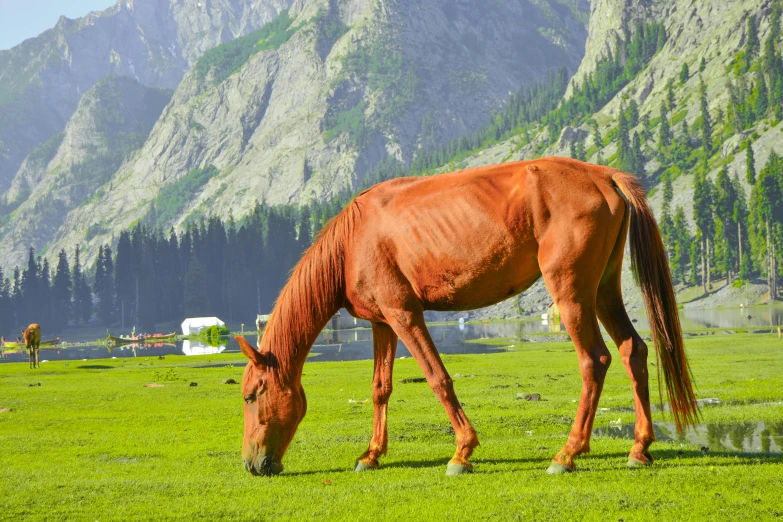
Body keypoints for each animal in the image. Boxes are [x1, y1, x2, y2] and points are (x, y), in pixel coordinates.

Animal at [234, 157, 700, 476]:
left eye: (251, 396)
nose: (253, 464)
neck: (354, 240)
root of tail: (603, 176)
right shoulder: (382, 323)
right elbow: (380, 389)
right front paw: (371, 454)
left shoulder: (405, 315)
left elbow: (438, 379)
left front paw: (462, 451)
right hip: (603, 291)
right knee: (632, 351)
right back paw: (639, 448)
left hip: (571, 294)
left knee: (595, 361)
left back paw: (567, 453)